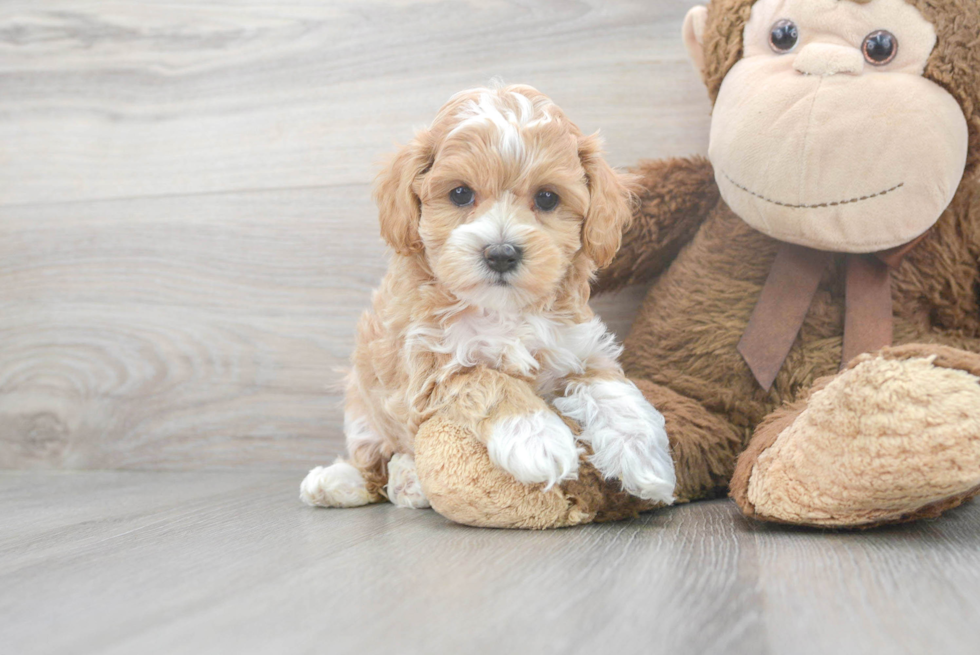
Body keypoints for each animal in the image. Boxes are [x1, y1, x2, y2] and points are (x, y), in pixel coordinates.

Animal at [302, 83, 676, 512]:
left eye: (547, 198)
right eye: (461, 193)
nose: (501, 253)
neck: (503, 311)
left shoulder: (579, 349)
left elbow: (612, 389)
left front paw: (645, 458)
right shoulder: (430, 368)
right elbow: (489, 380)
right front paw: (537, 438)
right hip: (361, 402)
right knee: (373, 460)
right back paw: (349, 481)